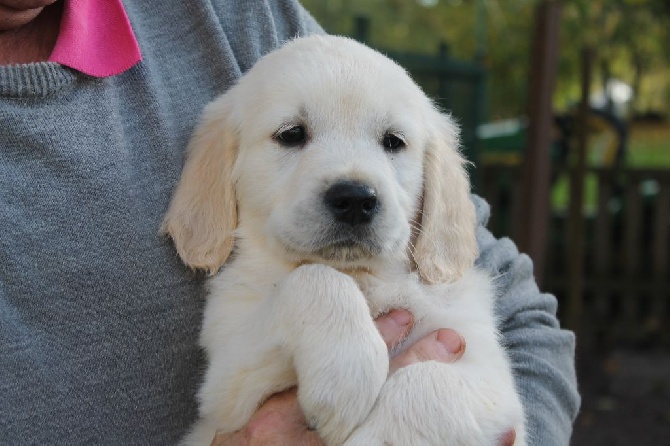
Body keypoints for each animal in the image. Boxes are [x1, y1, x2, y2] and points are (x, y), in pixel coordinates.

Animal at [161, 35, 524, 446]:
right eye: (291, 134)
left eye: (393, 141)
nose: (354, 199)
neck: (364, 277)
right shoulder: (225, 390)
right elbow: (314, 278)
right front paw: (347, 373)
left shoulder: (489, 375)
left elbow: (430, 382)